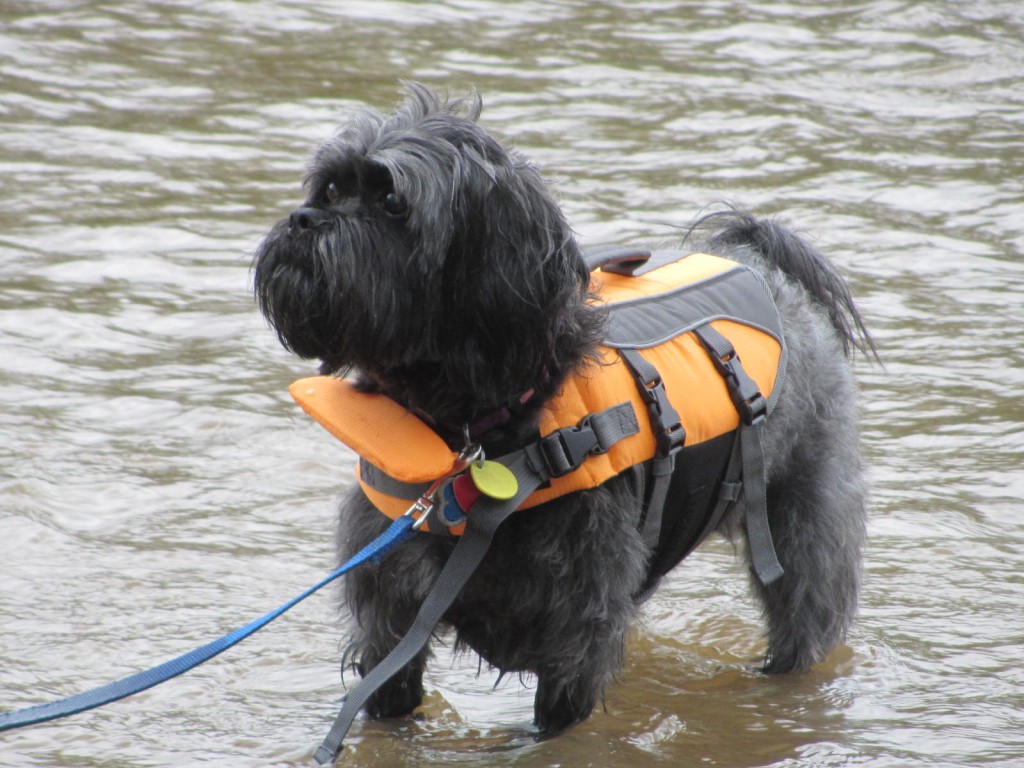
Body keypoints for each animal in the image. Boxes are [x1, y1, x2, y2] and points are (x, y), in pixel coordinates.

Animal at [251, 82, 876, 741]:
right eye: (329, 189)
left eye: (393, 201)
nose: (302, 219)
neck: (471, 442)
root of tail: (762, 261)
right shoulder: (389, 624)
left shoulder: (576, 642)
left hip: (805, 536)